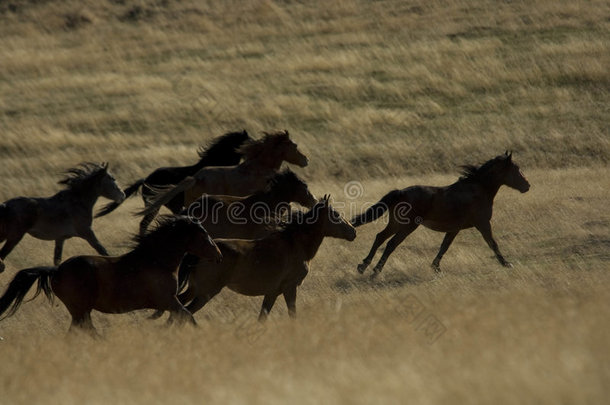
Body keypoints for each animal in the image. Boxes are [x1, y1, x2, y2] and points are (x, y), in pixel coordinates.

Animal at [176, 196, 356, 322]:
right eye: (336, 214)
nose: (353, 231)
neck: (294, 244)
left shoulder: (272, 293)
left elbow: (262, 318)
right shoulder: (290, 288)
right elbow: (292, 314)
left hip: (194, 289)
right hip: (206, 292)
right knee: (184, 313)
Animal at [350, 152, 528, 278]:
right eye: (516, 169)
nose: (527, 186)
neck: (478, 190)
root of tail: (400, 192)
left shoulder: (454, 228)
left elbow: (444, 246)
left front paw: (436, 267)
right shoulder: (483, 224)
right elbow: (492, 243)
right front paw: (506, 264)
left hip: (396, 224)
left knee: (380, 237)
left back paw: (363, 266)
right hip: (407, 226)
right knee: (390, 244)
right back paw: (375, 271)